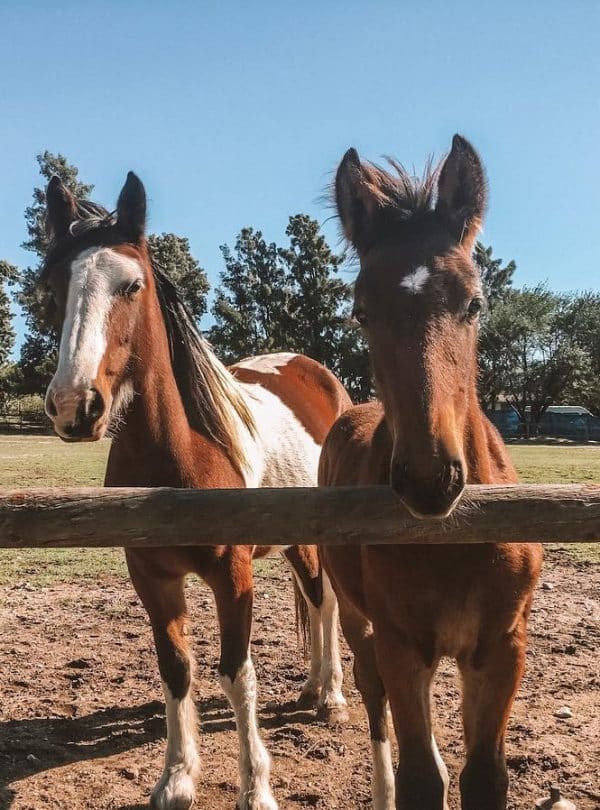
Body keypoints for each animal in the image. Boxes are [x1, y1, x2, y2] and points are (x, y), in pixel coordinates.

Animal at [42, 172, 351, 810]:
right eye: (54, 288)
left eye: (132, 284)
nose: (74, 406)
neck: (182, 458)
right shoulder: (152, 579)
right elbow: (176, 669)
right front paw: (177, 778)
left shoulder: (233, 576)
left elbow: (236, 673)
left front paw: (256, 787)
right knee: (313, 601)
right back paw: (311, 688)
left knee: (325, 602)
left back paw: (331, 697)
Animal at [319, 135, 543, 810]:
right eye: (361, 312)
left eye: (475, 302)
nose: (429, 479)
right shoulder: (402, 646)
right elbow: (424, 775)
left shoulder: (501, 648)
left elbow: (484, 776)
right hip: (357, 615)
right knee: (370, 689)